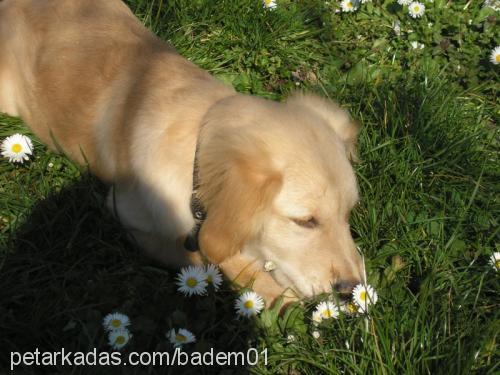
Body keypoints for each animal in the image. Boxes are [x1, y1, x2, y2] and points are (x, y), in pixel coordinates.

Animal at [1, 0, 366, 306]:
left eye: (348, 214)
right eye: (305, 221)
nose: (351, 290)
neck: (195, 144)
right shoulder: (130, 217)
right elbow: (209, 255)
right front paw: (273, 291)